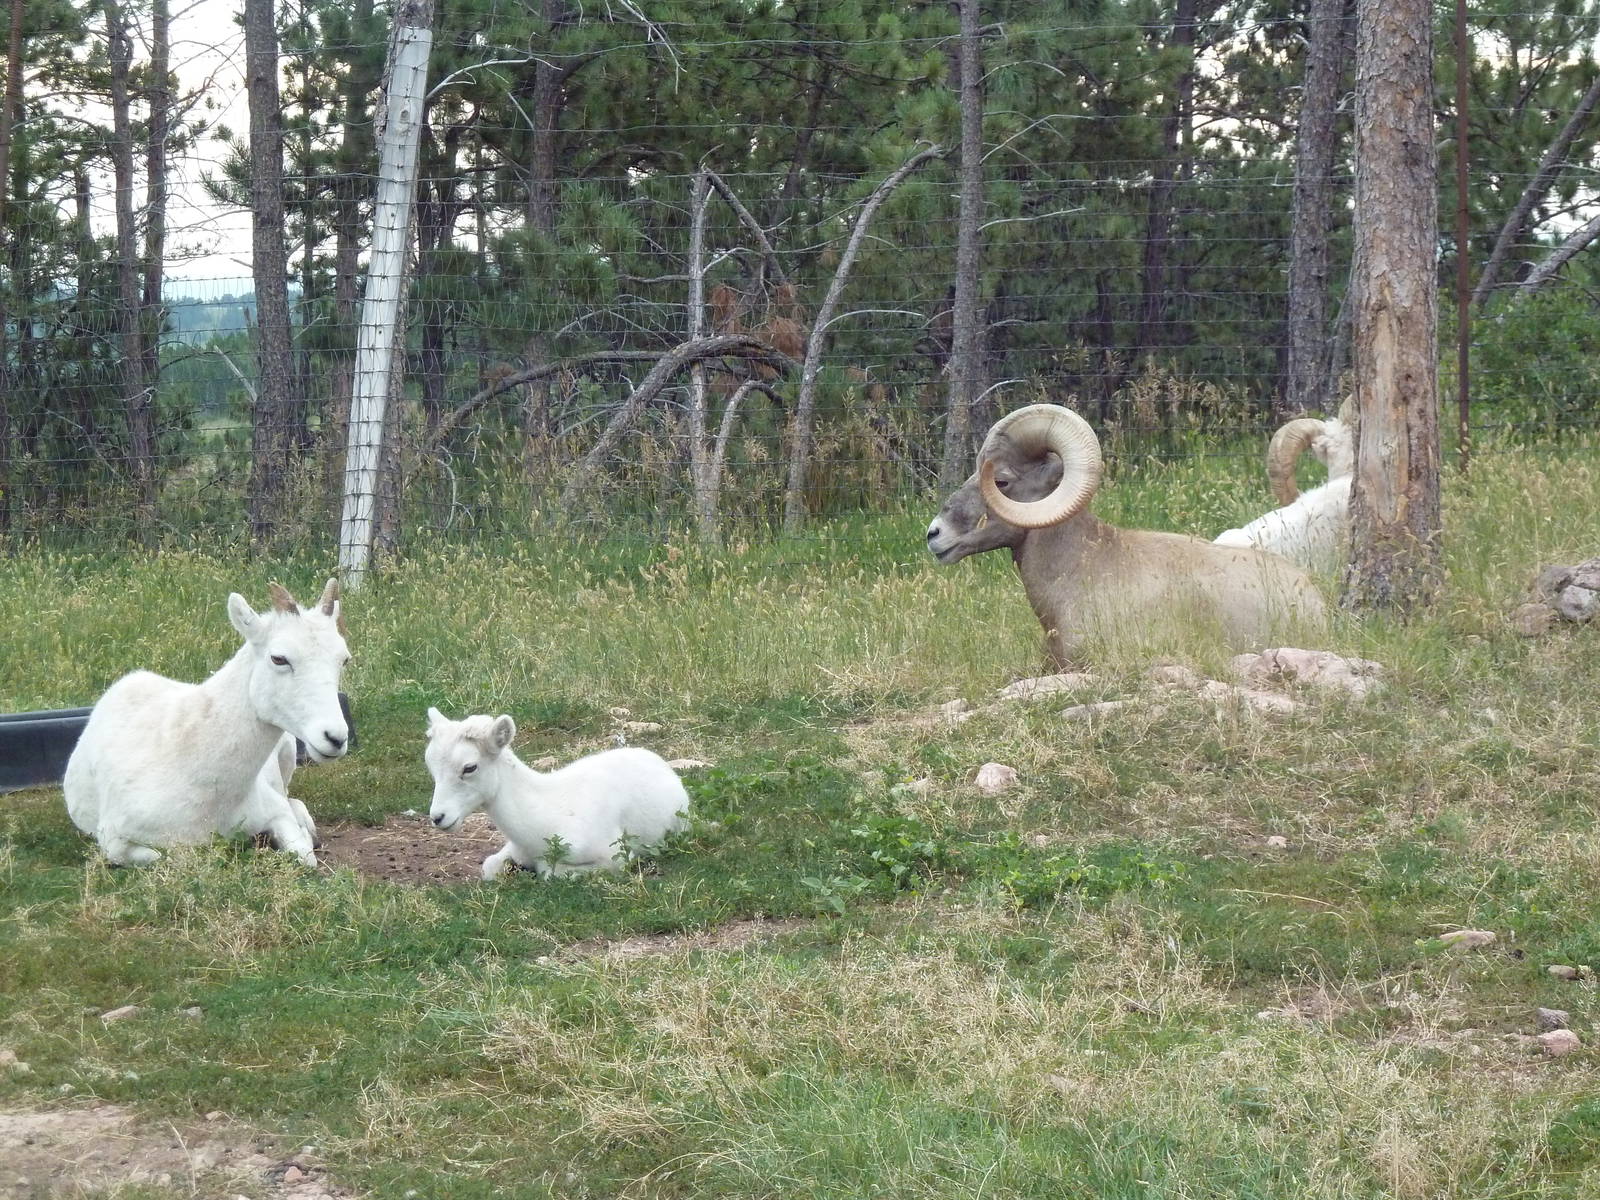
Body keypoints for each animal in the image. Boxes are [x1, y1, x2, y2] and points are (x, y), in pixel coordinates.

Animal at [63, 579, 351, 867]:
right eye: (278, 658)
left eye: (344, 659)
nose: (335, 738)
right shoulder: (114, 839)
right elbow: (164, 856)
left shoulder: (274, 810)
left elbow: (305, 856)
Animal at [424, 707, 690, 881]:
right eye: (430, 765)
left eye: (470, 767)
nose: (438, 817)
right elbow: (488, 867)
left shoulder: (615, 856)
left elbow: (549, 873)